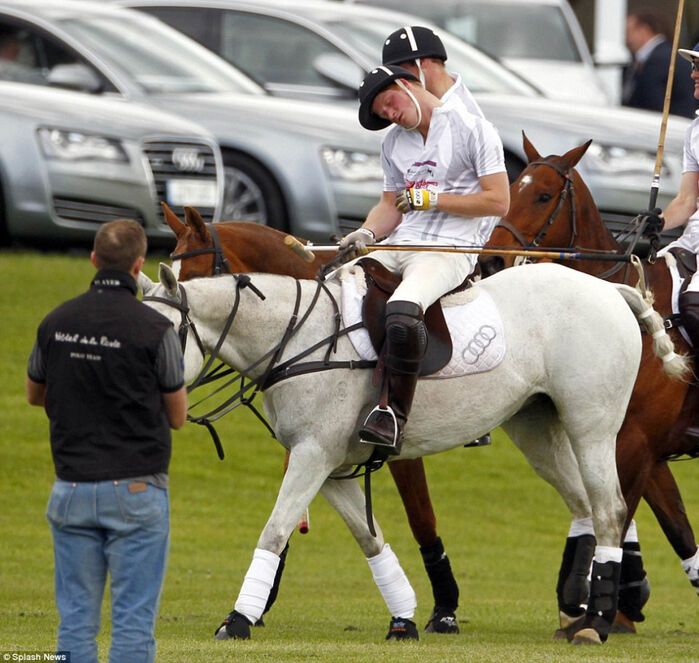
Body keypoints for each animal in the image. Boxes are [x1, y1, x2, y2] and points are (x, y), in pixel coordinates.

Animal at [161, 205, 462, 636]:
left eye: (196, 274)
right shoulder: (313, 442)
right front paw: (260, 601)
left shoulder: (392, 443)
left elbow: (421, 517)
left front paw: (445, 608)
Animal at [484, 132, 699, 636]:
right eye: (512, 187)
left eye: (544, 196)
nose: (493, 259)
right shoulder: (646, 449)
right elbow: (677, 530)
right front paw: (613, 606)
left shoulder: (636, 444)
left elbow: (616, 515)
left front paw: (598, 614)